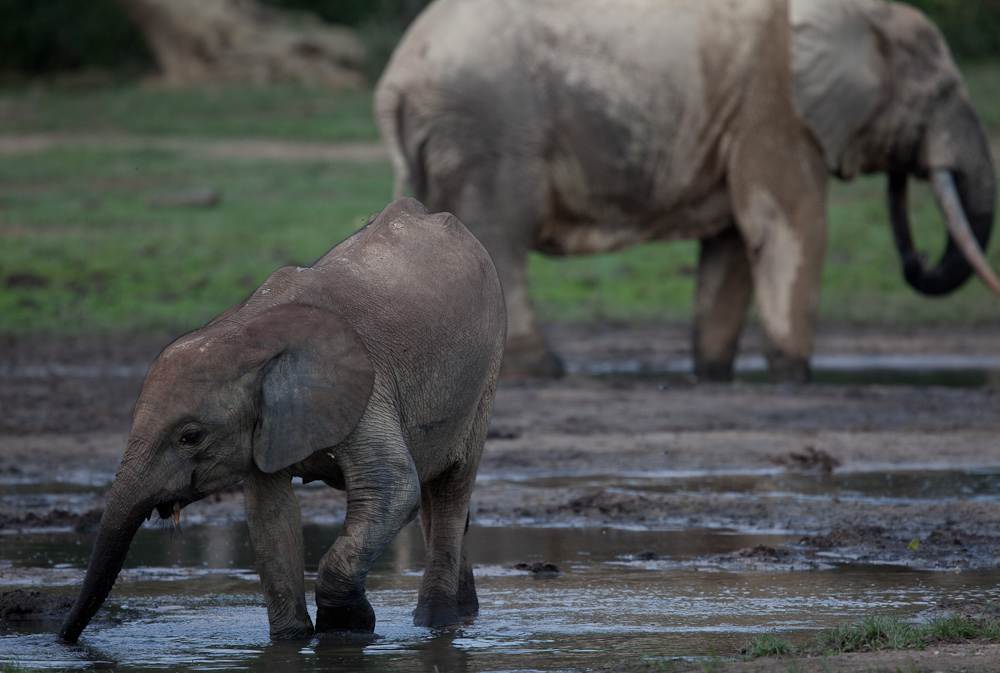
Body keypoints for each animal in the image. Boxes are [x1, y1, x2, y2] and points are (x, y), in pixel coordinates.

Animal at [57, 196, 508, 640]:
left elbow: (393, 488)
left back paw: (438, 622)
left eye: (191, 436)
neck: (247, 333)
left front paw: (349, 629)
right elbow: (270, 516)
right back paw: (463, 613)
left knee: (451, 488)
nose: (64, 638)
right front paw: (293, 640)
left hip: (487, 370)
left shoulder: (365, 389)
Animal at [376, 0, 1000, 380]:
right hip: (489, 129)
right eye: (941, 93)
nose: (917, 255)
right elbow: (790, 223)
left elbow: (734, 245)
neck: (859, 14)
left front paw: (713, 374)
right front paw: (793, 377)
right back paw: (542, 368)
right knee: (501, 231)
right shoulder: (773, 104)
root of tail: (394, 80)